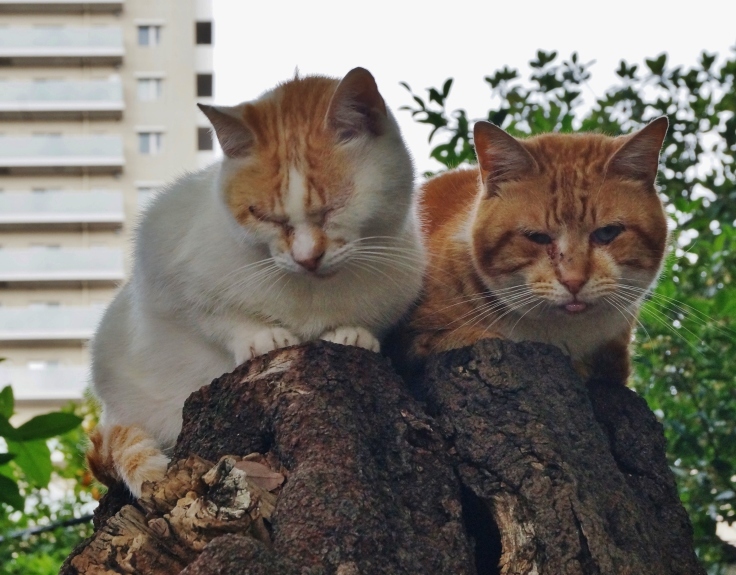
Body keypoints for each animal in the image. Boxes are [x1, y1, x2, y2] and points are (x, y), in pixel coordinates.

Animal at [85, 67, 426, 498]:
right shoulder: (160, 259)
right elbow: (214, 316)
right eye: (263, 215)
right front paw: (261, 336)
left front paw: (353, 334)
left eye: (335, 207)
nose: (306, 258)